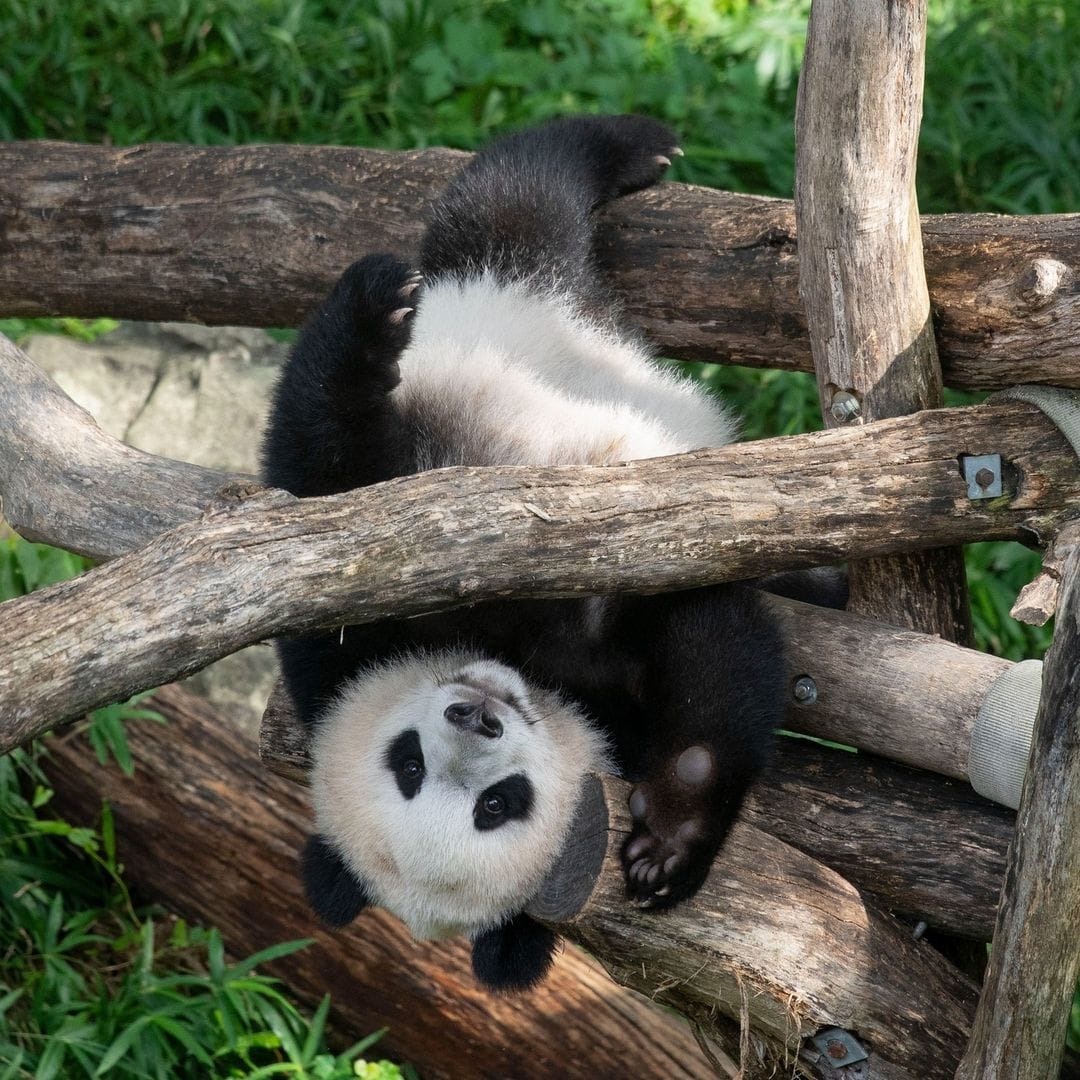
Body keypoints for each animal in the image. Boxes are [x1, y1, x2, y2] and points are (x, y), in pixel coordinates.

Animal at [263, 115, 842, 992]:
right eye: (414, 770)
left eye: (498, 804)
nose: (477, 714)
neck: (514, 658)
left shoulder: (372, 623)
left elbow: (707, 641)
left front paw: (672, 842)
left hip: (509, 325)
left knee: (514, 198)